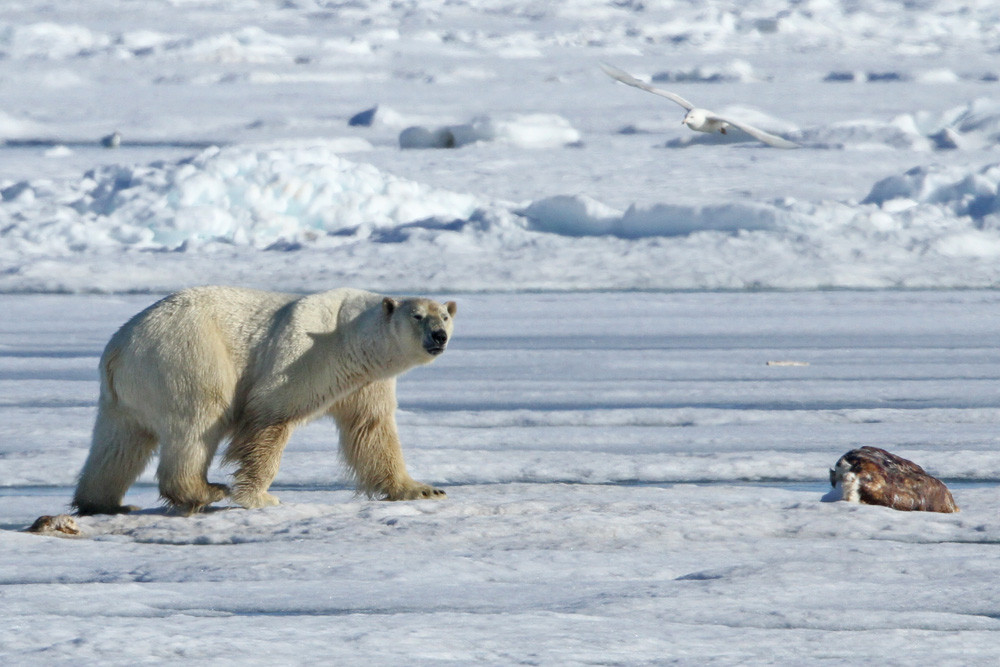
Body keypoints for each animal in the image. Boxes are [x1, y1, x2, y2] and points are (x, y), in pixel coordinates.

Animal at [71, 286, 456, 515]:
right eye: (417, 316)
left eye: (445, 315)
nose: (439, 336)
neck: (348, 333)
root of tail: (118, 349)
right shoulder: (302, 356)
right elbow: (271, 416)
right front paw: (260, 496)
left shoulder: (366, 383)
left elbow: (371, 430)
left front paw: (423, 489)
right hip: (186, 356)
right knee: (199, 420)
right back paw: (205, 491)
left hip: (127, 393)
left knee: (119, 443)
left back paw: (104, 503)